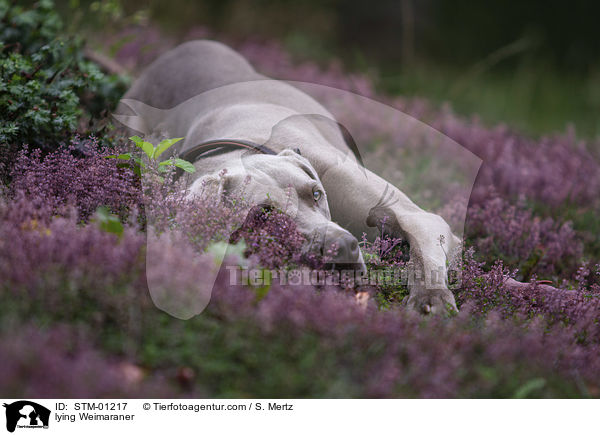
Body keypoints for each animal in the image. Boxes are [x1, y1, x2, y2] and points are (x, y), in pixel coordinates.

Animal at [115, 39, 460, 316]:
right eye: (263, 214)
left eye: (317, 194)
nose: (344, 248)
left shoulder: (413, 216)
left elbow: (421, 244)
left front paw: (431, 296)